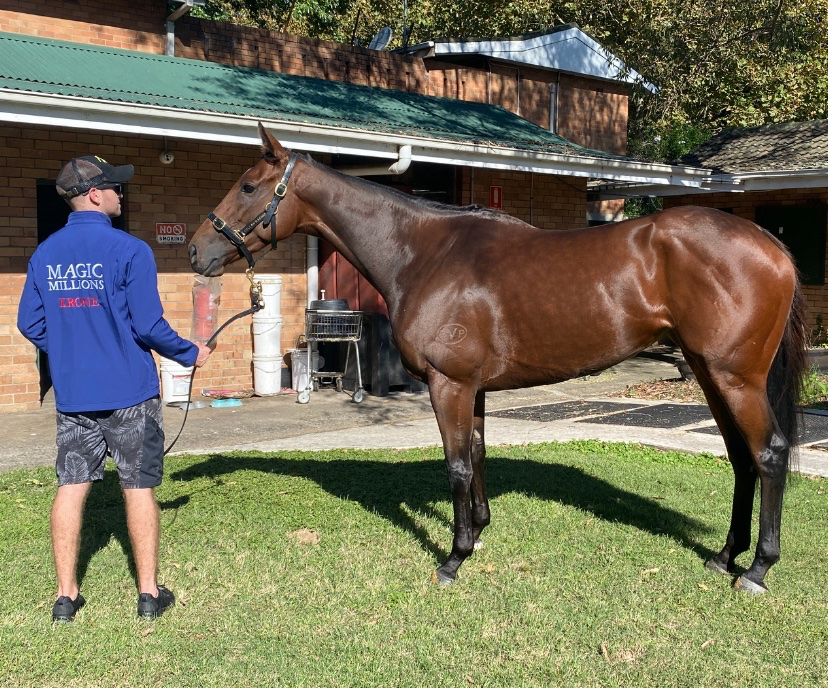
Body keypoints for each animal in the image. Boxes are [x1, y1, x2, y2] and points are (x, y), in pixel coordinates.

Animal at [189, 123, 807, 594]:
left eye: (248, 186)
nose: (197, 250)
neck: (423, 253)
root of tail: (771, 245)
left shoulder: (449, 385)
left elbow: (457, 465)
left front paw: (454, 557)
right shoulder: (475, 388)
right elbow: (479, 455)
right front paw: (480, 533)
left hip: (735, 377)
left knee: (768, 454)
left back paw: (757, 569)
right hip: (709, 373)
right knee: (741, 459)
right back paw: (724, 556)